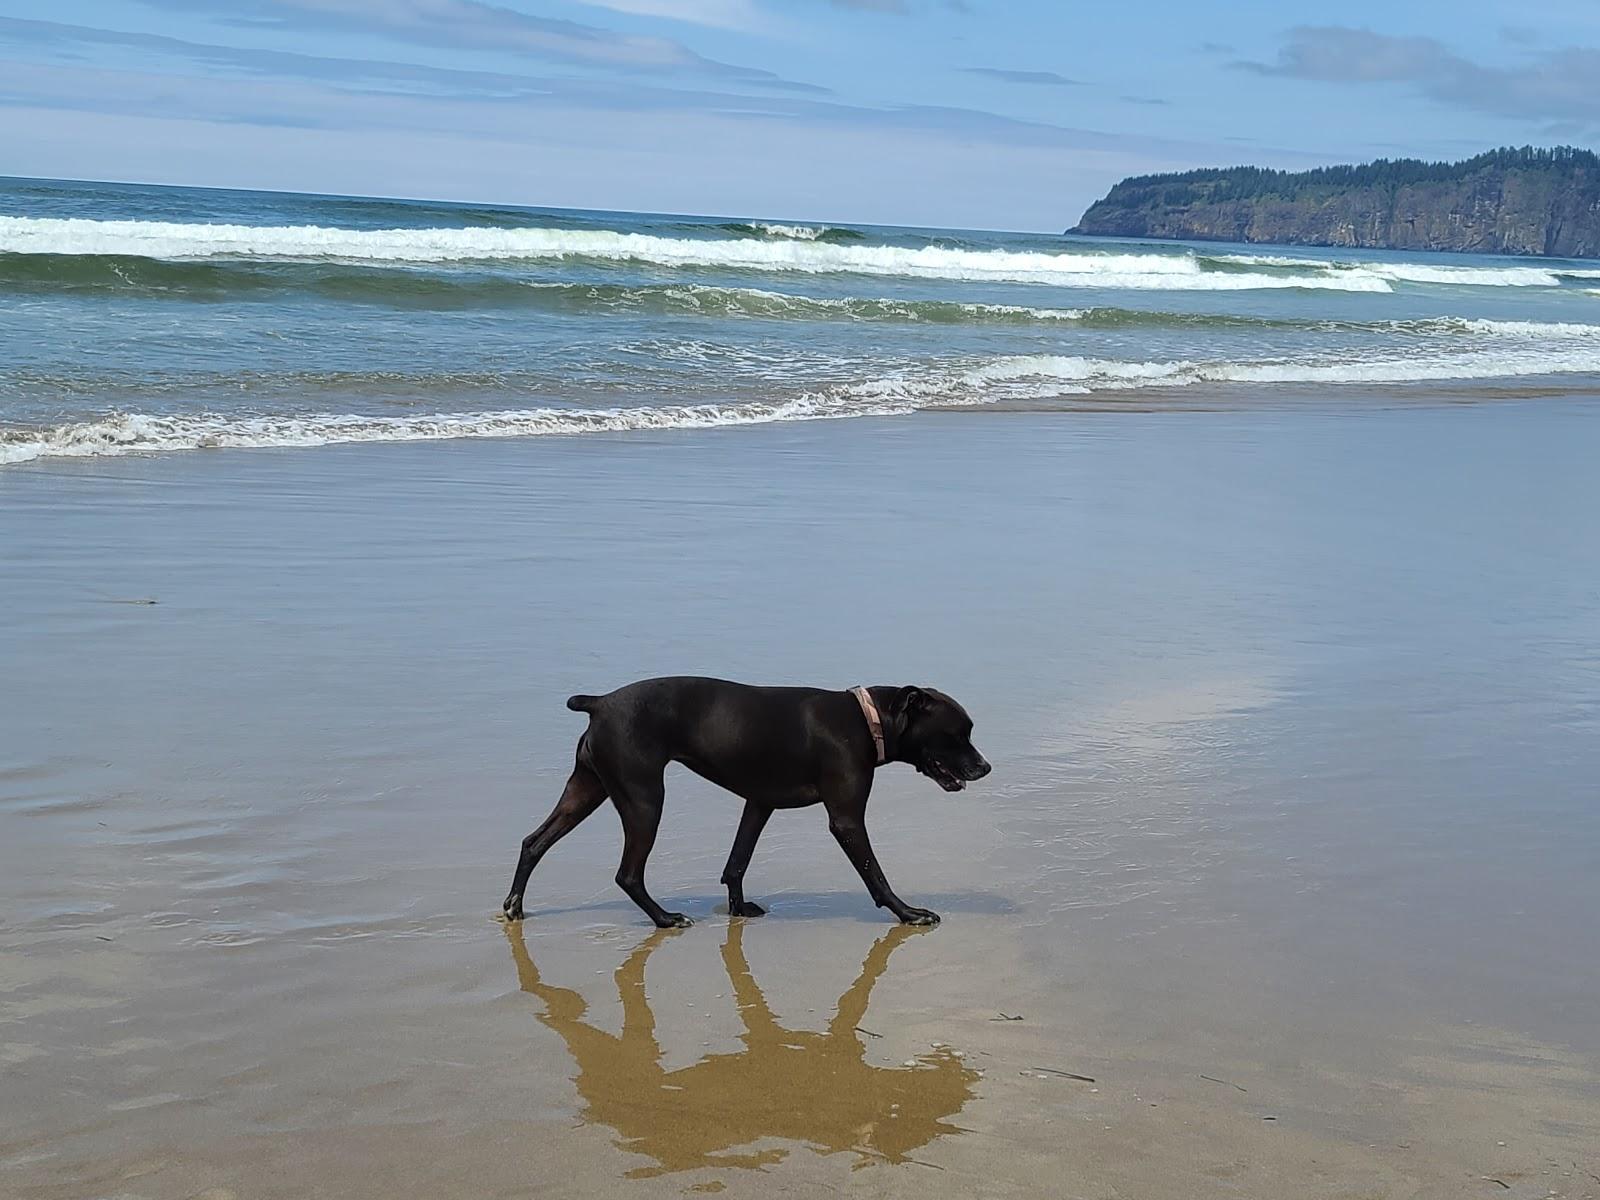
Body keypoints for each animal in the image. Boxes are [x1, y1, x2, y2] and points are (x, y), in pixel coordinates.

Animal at [505, 678, 992, 928]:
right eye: (957, 734)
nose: (985, 767)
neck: (867, 720)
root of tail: (600, 703)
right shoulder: (847, 819)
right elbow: (876, 874)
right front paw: (908, 913)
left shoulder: (758, 804)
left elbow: (737, 862)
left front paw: (738, 908)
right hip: (643, 800)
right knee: (628, 874)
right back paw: (664, 918)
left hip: (587, 790)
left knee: (533, 842)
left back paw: (514, 905)